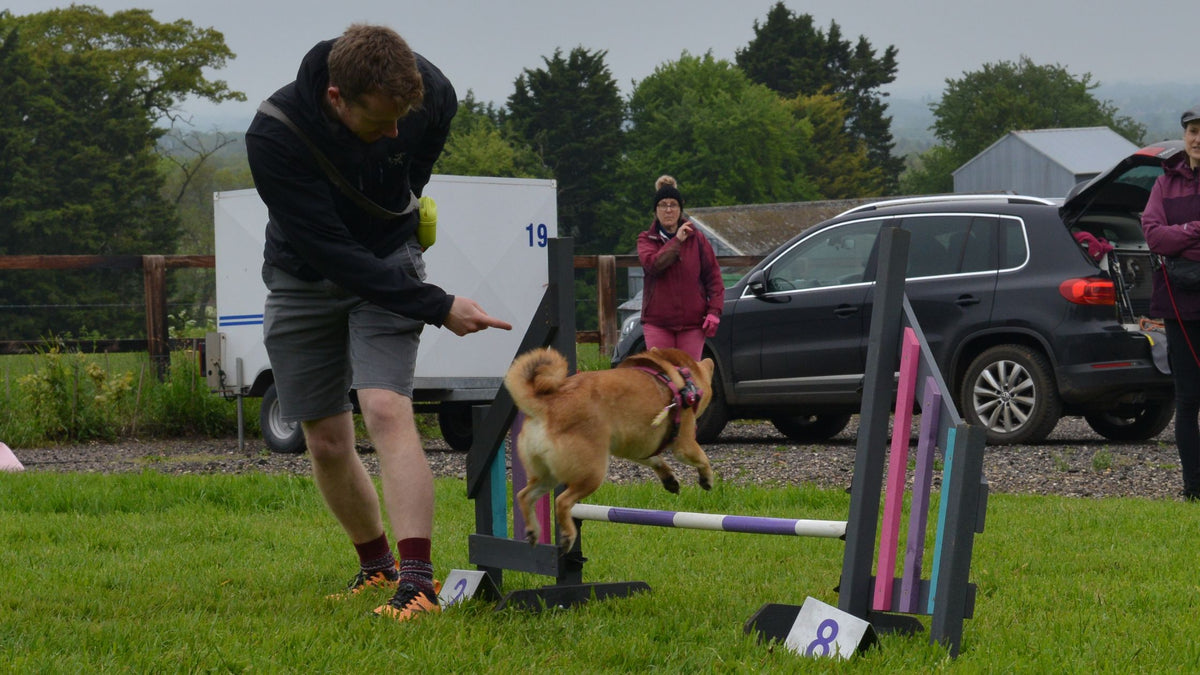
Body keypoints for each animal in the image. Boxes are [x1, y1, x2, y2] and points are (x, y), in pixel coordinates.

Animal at [504, 343, 710, 550]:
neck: (674, 373)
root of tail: (545, 405)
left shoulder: (636, 448)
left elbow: (656, 461)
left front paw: (669, 479)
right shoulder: (684, 445)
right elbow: (702, 459)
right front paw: (707, 478)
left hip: (547, 475)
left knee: (524, 496)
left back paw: (532, 531)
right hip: (591, 474)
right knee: (562, 502)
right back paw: (568, 536)